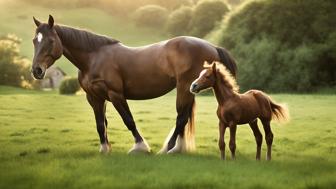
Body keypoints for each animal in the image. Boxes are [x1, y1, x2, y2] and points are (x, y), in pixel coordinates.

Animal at [30, 14, 236, 154]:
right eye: (34, 41)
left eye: (50, 41)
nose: (36, 70)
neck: (94, 58)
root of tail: (212, 46)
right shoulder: (94, 97)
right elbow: (100, 124)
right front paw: (105, 149)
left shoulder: (115, 94)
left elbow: (128, 120)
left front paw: (140, 147)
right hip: (189, 89)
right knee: (184, 118)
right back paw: (177, 149)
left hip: (185, 88)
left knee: (181, 118)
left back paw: (167, 149)